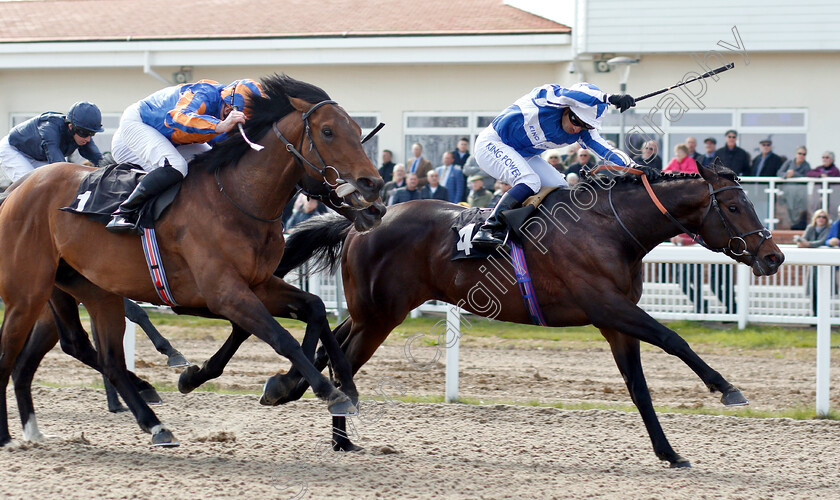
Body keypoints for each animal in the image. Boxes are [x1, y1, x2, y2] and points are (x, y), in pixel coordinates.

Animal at [0, 73, 384, 446]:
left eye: (356, 129)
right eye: (328, 131)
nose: (375, 188)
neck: (236, 198)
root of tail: (16, 189)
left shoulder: (258, 284)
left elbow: (314, 308)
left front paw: (330, 385)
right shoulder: (223, 294)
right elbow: (281, 338)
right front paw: (326, 391)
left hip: (89, 290)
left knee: (97, 355)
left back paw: (148, 420)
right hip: (31, 292)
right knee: (29, 350)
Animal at [179, 162, 788, 466]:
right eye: (736, 205)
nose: (774, 256)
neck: (611, 228)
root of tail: (360, 221)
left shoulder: (615, 320)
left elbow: (639, 387)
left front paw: (669, 452)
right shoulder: (609, 305)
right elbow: (675, 341)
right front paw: (728, 389)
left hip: (379, 308)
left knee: (333, 340)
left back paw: (301, 401)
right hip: (381, 313)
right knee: (342, 351)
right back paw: (330, 424)